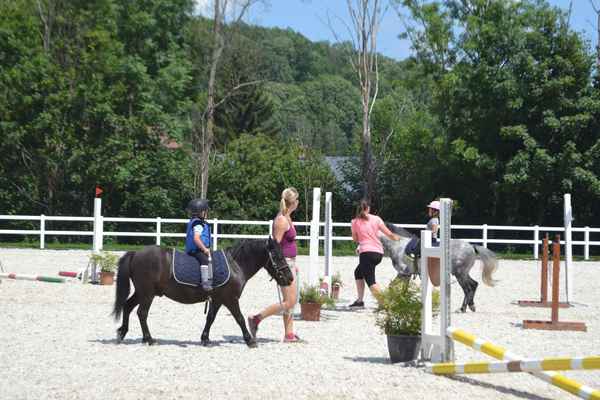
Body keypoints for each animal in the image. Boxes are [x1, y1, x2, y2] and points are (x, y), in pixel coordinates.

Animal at [111, 238, 293, 348]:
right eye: (277, 256)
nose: (290, 278)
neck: (235, 264)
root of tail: (136, 253)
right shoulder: (230, 299)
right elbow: (240, 318)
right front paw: (249, 340)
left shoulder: (218, 299)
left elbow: (210, 318)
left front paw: (205, 338)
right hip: (147, 294)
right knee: (141, 313)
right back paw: (149, 339)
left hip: (142, 292)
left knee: (127, 307)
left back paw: (123, 333)